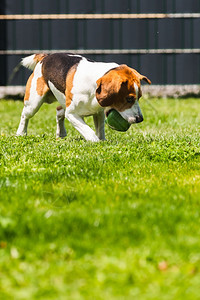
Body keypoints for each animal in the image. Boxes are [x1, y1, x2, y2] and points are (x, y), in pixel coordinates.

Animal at [17, 52, 151, 142]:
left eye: (139, 97)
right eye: (129, 99)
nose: (140, 119)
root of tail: (45, 57)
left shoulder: (98, 113)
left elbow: (100, 130)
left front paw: (103, 142)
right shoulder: (72, 114)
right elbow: (89, 132)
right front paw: (96, 142)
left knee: (59, 111)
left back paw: (61, 134)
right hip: (33, 103)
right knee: (25, 116)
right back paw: (21, 133)